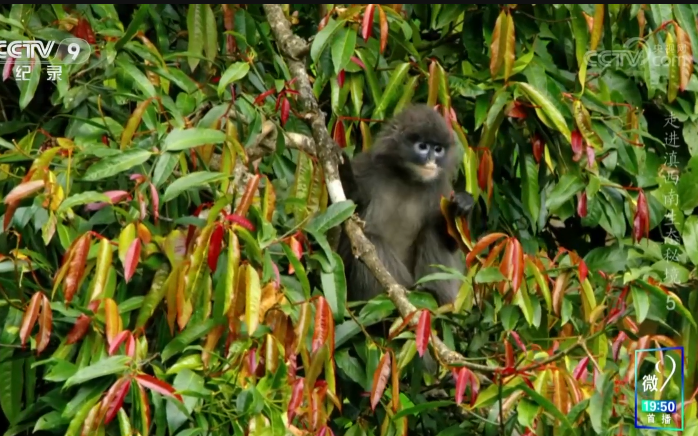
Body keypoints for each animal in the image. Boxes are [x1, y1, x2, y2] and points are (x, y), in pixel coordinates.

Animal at [336, 104, 476, 310]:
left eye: (438, 149)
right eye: (422, 146)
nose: (431, 160)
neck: (408, 178)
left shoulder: (440, 187)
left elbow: (451, 242)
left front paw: (463, 205)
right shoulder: (366, 167)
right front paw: (344, 175)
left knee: (431, 230)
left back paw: (432, 296)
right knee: (370, 239)